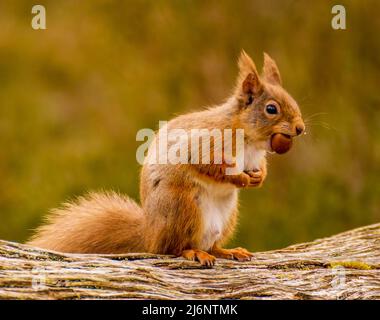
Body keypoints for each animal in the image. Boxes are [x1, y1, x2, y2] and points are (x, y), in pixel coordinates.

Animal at [27, 52, 306, 264]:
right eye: (271, 109)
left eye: (293, 102)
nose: (301, 128)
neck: (248, 137)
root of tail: (149, 234)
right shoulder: (202, 144)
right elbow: (207, 165)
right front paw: (240, 178)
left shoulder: (255, 157)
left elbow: (259, 168)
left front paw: (258, 178)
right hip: (182, 207)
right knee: (174, 248)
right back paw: (193, 252)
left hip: (227, 216)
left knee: (212, 245)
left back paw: (227, 251)